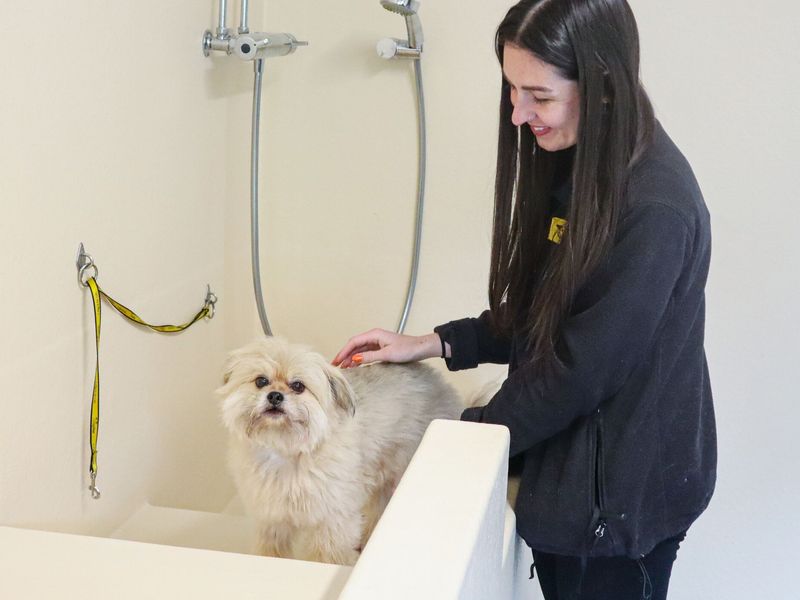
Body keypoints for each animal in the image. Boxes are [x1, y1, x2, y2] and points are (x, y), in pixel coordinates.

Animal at [217, 338, 462, 568]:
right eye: (261, 381)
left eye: (298, 386)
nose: (275, 396)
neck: (287, 450)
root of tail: (440, 381)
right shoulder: (272, 522)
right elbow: (271, 551)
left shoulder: (332, 523)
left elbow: (328, 556)